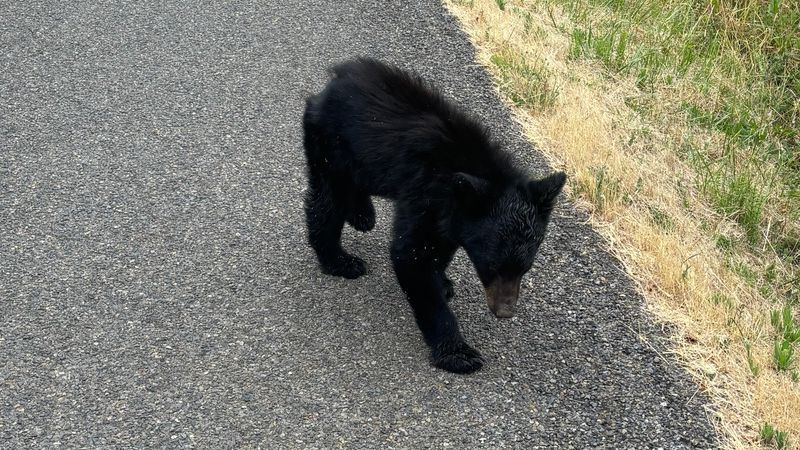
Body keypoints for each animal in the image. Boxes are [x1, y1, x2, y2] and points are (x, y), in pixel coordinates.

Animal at [302, 57, 566, 374]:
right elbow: (412, 255)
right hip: (332, 145)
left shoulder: (448, 213)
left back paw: (361, 213)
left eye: (525, 268)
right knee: (328, 199)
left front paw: (443, 281)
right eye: (492, 266)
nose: (504, 312)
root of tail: (329, 85)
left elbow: (441, 246)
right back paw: (339, 259)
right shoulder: (424, 193)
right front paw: (458, 353)